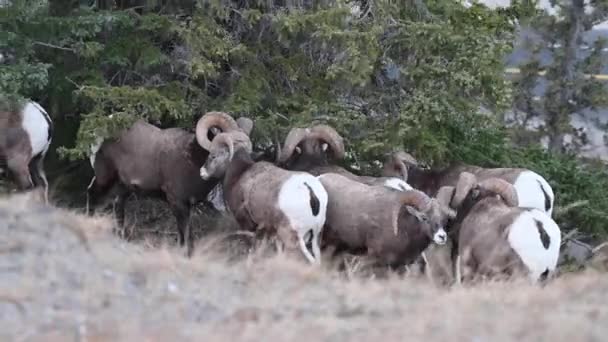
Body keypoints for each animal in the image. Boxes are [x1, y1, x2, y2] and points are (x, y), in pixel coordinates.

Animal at [86, 111, 253, 255]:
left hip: (122, 187)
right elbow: (184, 234)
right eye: (228, 146)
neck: (191, 160)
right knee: (92, 195)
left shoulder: (187, 206)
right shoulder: (177, 203)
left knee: (118, 208)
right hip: (104, 178)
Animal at [200, 131, 328, 264]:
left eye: (213, 156)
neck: (240, 175)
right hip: (315, 236)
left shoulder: (247, 224)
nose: (202, 172)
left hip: (292, 237)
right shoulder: (268, 231)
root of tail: (309, 190)